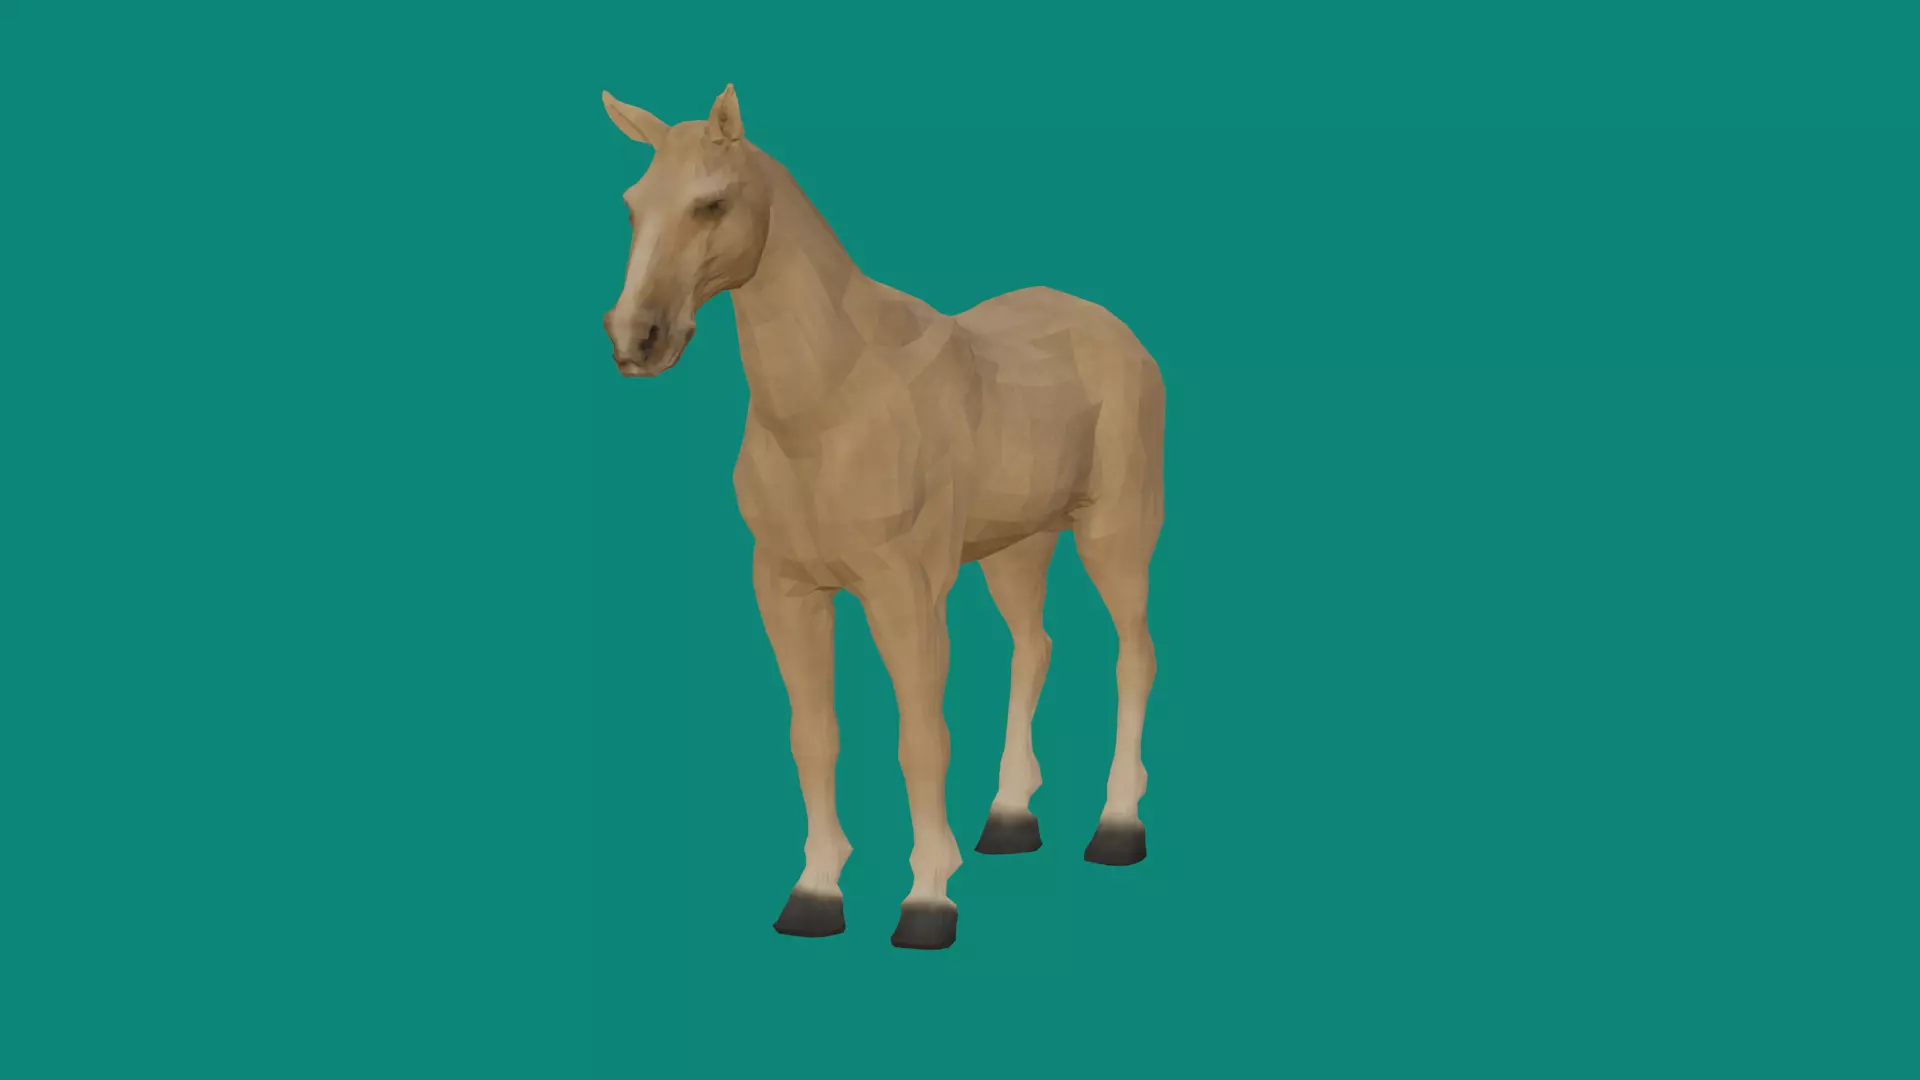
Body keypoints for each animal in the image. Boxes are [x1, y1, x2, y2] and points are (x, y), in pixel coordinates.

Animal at [600, 85, 1165, 949]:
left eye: (711, 203)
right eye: (633, 205)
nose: (637, 338)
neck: (833, 401)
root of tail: (1114, 330)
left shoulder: (906, 594)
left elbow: (921, 739)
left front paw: (928, 899)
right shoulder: (787, 592)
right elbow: (814, 737)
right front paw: (815, 893)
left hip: (1116, 536)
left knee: (1133, 657)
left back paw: (1117, 826)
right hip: (1017, 549)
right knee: (1033, 649)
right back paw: (1009, 819)